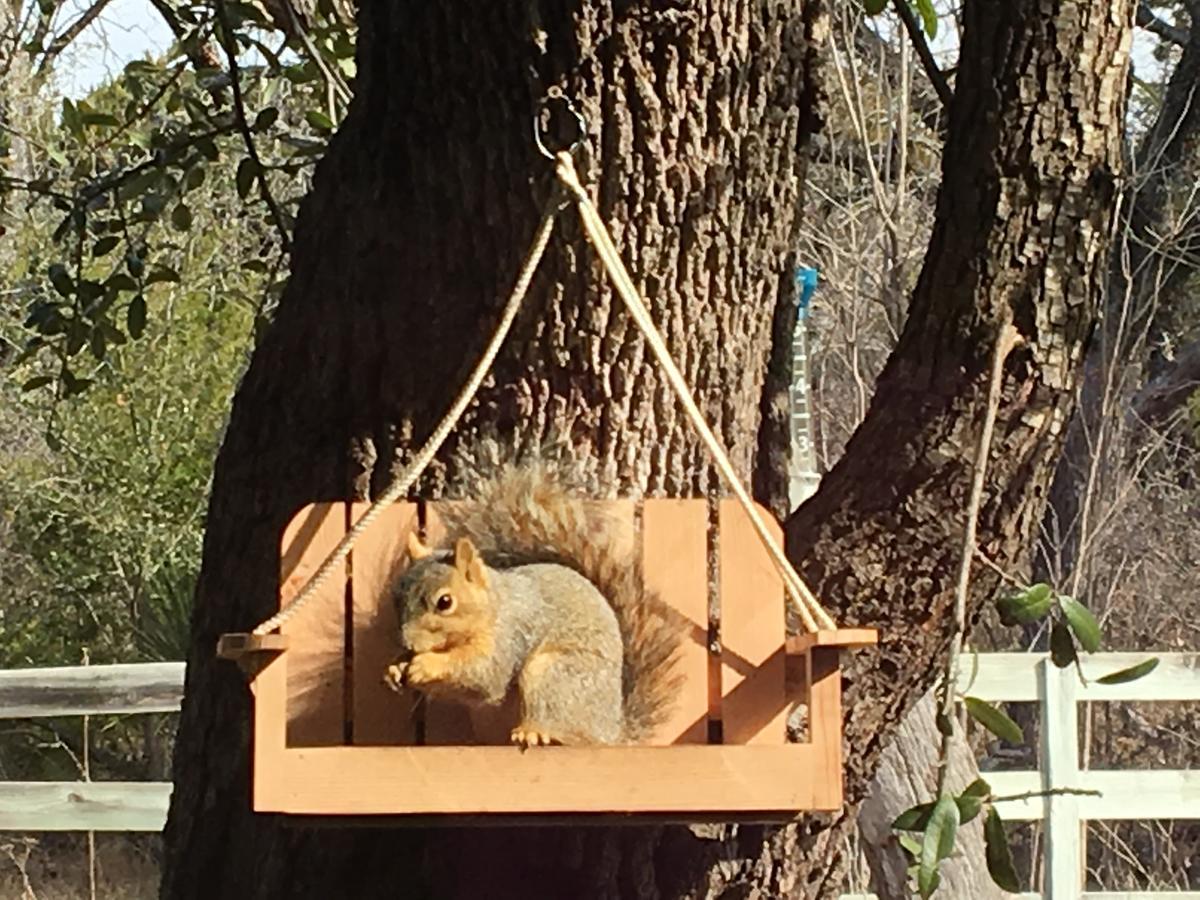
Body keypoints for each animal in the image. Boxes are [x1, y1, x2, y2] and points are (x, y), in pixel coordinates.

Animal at [386, 460, 686, 748]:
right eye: (396, 596)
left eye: (445, 602)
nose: (407, 644)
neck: (492, 607)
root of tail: (610, 733)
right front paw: (397, 668)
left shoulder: (508, 637)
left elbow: (484, 674)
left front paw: (426, 664)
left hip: (552, 673)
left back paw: (535, 732)